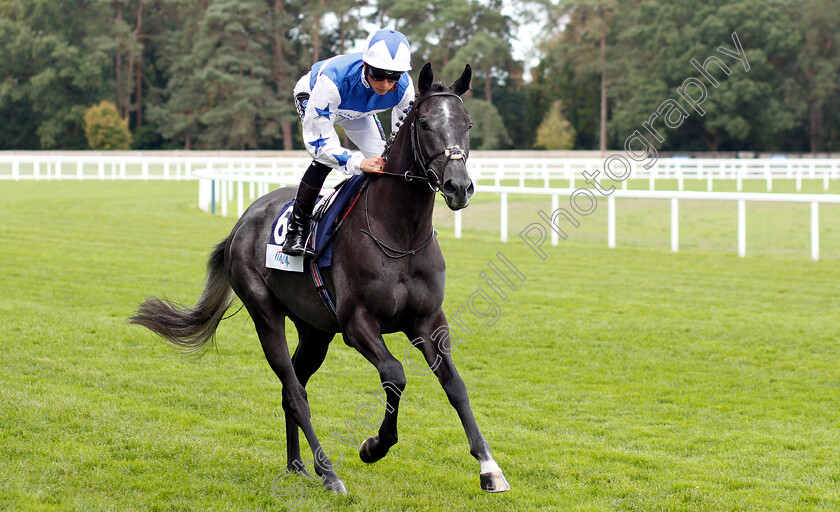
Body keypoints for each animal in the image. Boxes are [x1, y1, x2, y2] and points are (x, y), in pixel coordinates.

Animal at [130, 61, 508, 496]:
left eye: (468, 123)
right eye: (427, 123)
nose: (458, 186)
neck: (401, 234)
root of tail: (242, 222)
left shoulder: (428, 320)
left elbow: (455, 385)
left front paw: (488, 466)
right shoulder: (356, 323)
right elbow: (395, 374)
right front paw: (373, 446)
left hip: (314, 331)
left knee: (292, 386)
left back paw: (297, 464)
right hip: (266, 313)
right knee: (294, 390)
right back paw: (328, 472)